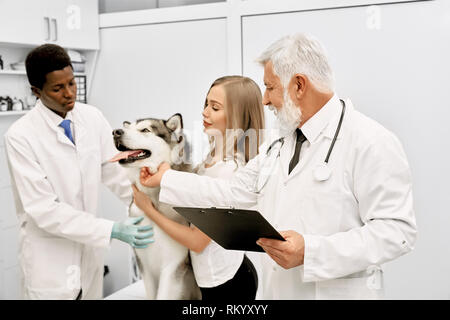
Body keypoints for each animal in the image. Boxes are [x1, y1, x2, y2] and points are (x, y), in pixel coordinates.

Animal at [109, 113, 200, 300]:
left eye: (145, 130)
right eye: (129, 128)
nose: (116, 132)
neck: (153, 200)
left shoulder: (173, 267)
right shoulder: (146, 266)